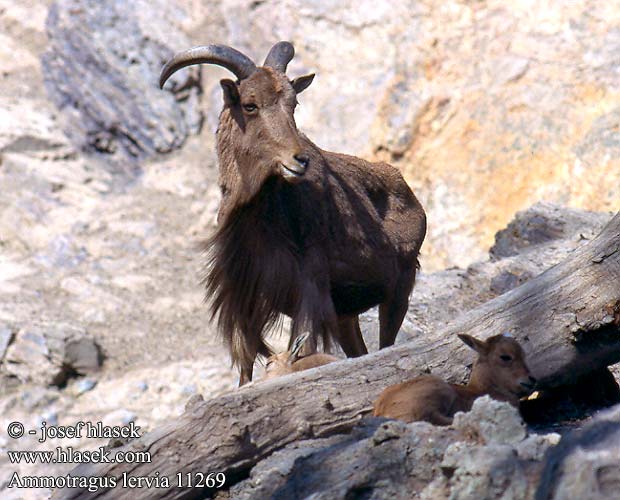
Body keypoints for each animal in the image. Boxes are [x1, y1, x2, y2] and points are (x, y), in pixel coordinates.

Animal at [160, 41, 426, 384]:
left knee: (385, 341)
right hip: (346, 315)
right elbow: (245, 362)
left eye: (293, 104)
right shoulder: (243, 297)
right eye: (249, 105)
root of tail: (408, 191)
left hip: (398, 291)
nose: (299, 160)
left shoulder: (309, 291)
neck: (261, 218)